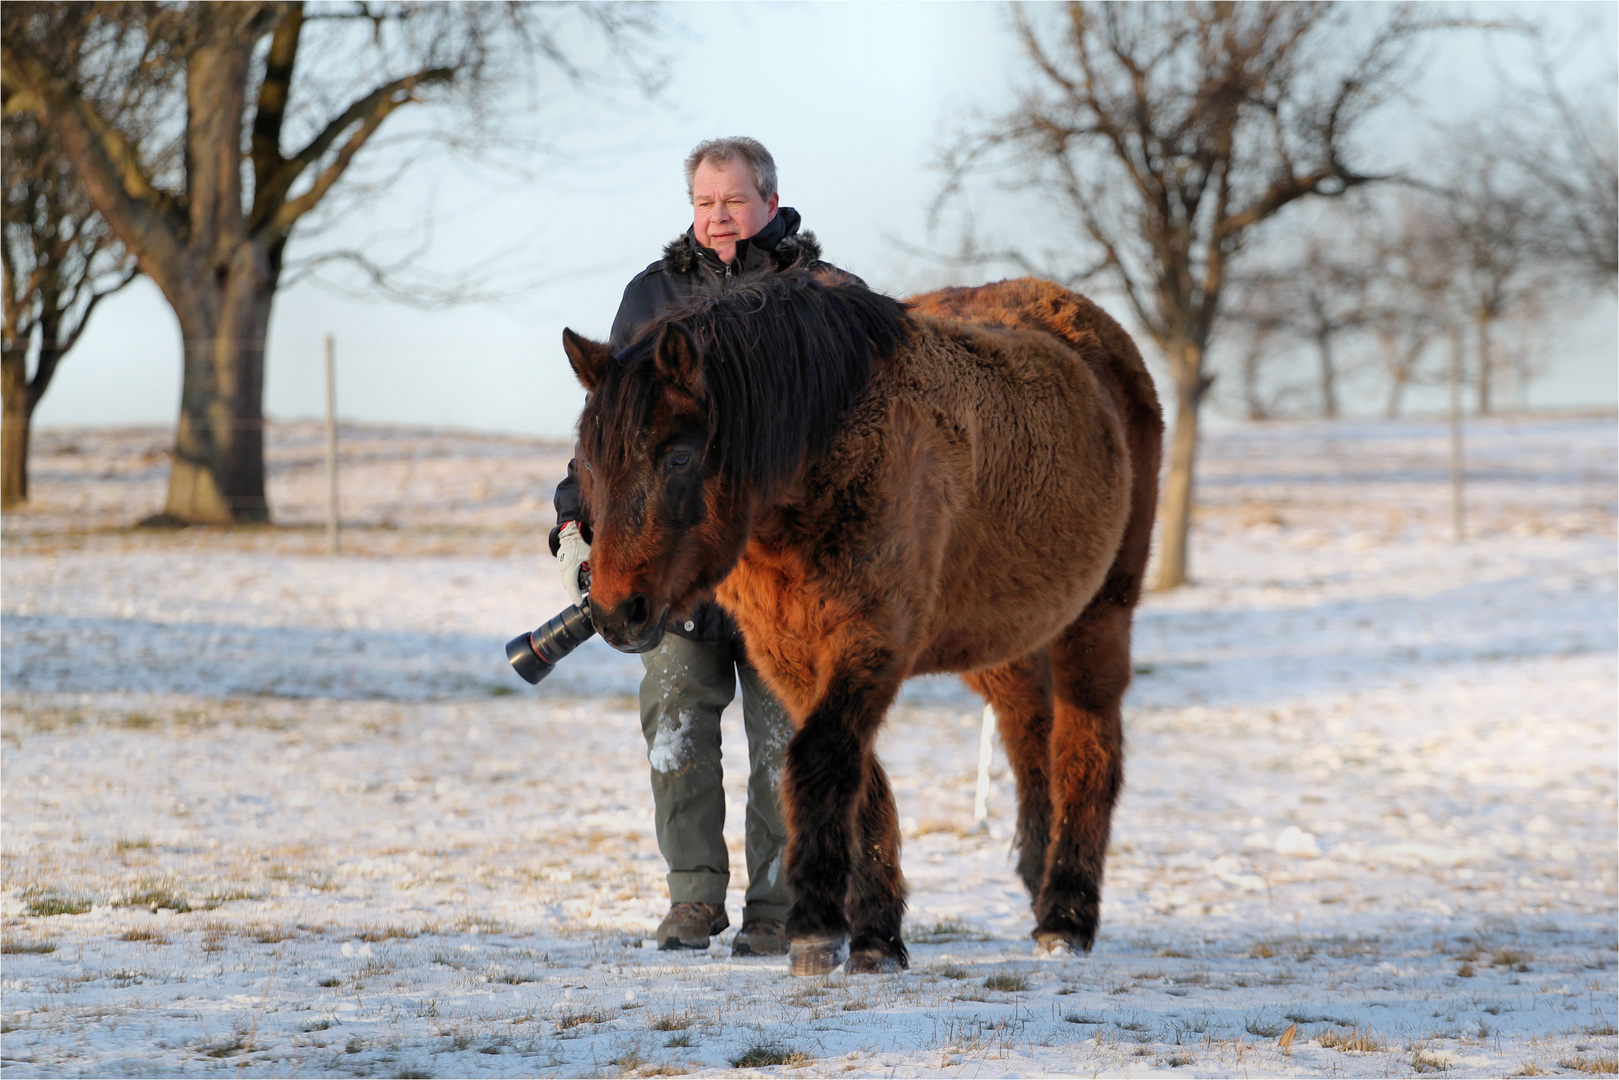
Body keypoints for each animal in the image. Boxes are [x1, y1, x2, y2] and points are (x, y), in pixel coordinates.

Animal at [563, 272, 1159, 977]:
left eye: (678, 458)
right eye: (589, 464)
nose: (614, 612)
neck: (825, 455)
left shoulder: (872, 642)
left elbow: (821, 760)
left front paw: (819, 929)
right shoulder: (790, 658)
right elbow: (861, 779)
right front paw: (876, 934)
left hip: (1097, 620)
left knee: (1085, 748)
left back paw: (1065, 914)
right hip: (1008, 641)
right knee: (1029, 738)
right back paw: (1039, 879)